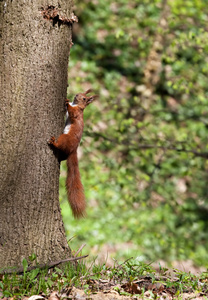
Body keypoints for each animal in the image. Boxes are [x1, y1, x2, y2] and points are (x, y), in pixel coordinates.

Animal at [48, 89, 97, 218]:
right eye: (81, 92)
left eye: (84, 98)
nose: (76, 95)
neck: (77, 105)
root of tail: (73, 150)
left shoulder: (76, 113)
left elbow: (71, 111)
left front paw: (67, 102)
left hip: (65, 138)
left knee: (59, 145)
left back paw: (53, 142)